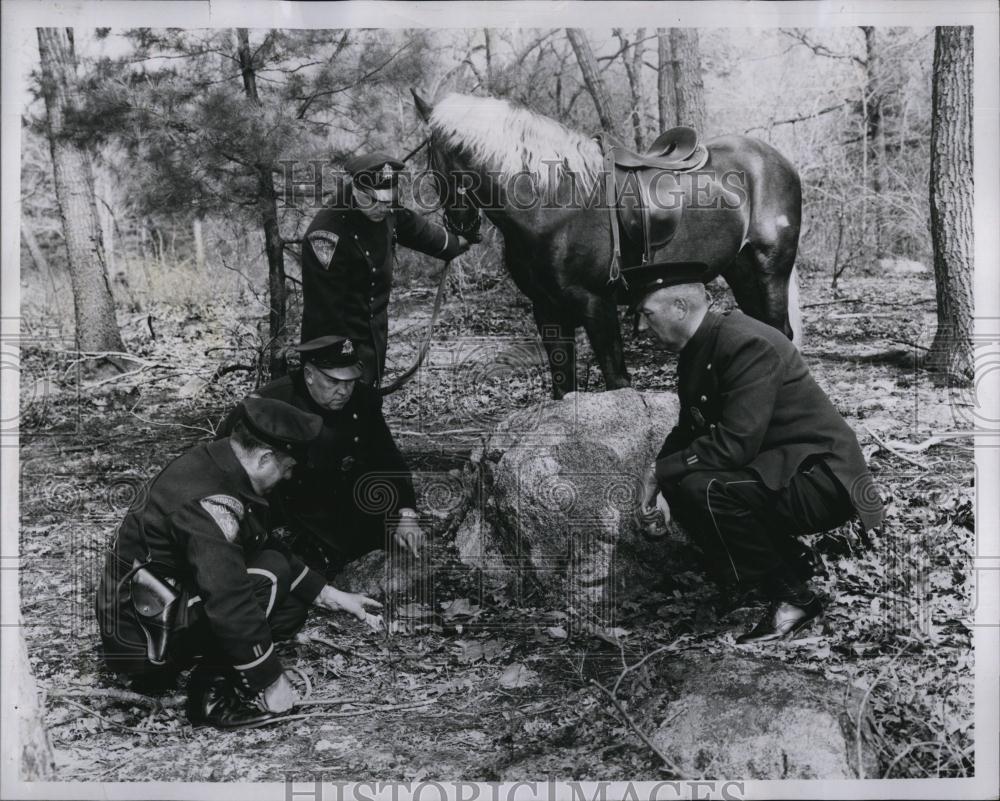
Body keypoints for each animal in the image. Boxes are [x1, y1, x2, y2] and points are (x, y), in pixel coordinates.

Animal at [410, 92, 800, 400]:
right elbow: (563, 387)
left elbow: (617, 381)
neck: (555, 204)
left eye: (432, 158)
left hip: (771, 271)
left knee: (782, 333)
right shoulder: (548, 309)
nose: (461, 228)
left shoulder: (597, 304)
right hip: (742, 271)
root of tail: (773, 157)